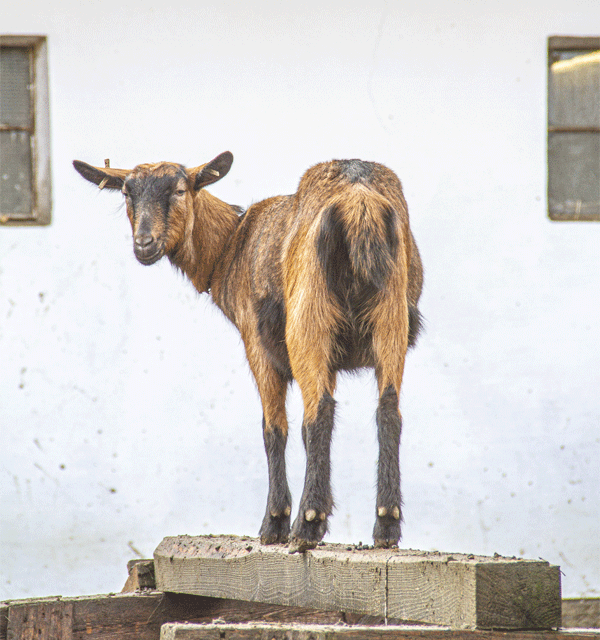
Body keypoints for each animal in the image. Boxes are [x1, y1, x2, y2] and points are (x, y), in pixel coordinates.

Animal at [74, 152, 422, 552]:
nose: (144, 244)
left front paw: (275, 523)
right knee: (387, 410)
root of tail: (358, 200)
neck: (231, 245)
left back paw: (307, 524)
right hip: (390, 313)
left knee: (319, 412)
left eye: (179, 190)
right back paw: (386, 524)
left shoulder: (256, 342)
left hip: (307, 318)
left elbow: (275, 429)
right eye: (126, 193)